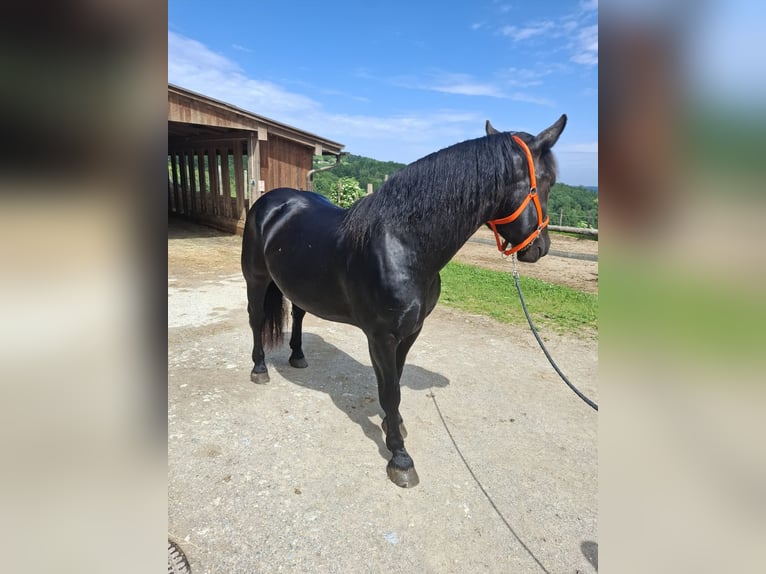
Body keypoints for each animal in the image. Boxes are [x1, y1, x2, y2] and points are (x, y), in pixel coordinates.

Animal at [241, 115, 567, 488]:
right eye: (548, 181)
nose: (540, 248)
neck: (403, 245)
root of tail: (272, 201)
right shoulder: (381, 336)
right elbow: (391, 390)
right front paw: (400, 458)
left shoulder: (411, 331)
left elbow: (393, 380)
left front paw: (390, 425)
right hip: (256, 280)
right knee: (255, 319)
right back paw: (260, 369)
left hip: (297, 285)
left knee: (297, 315)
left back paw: (297, 356)